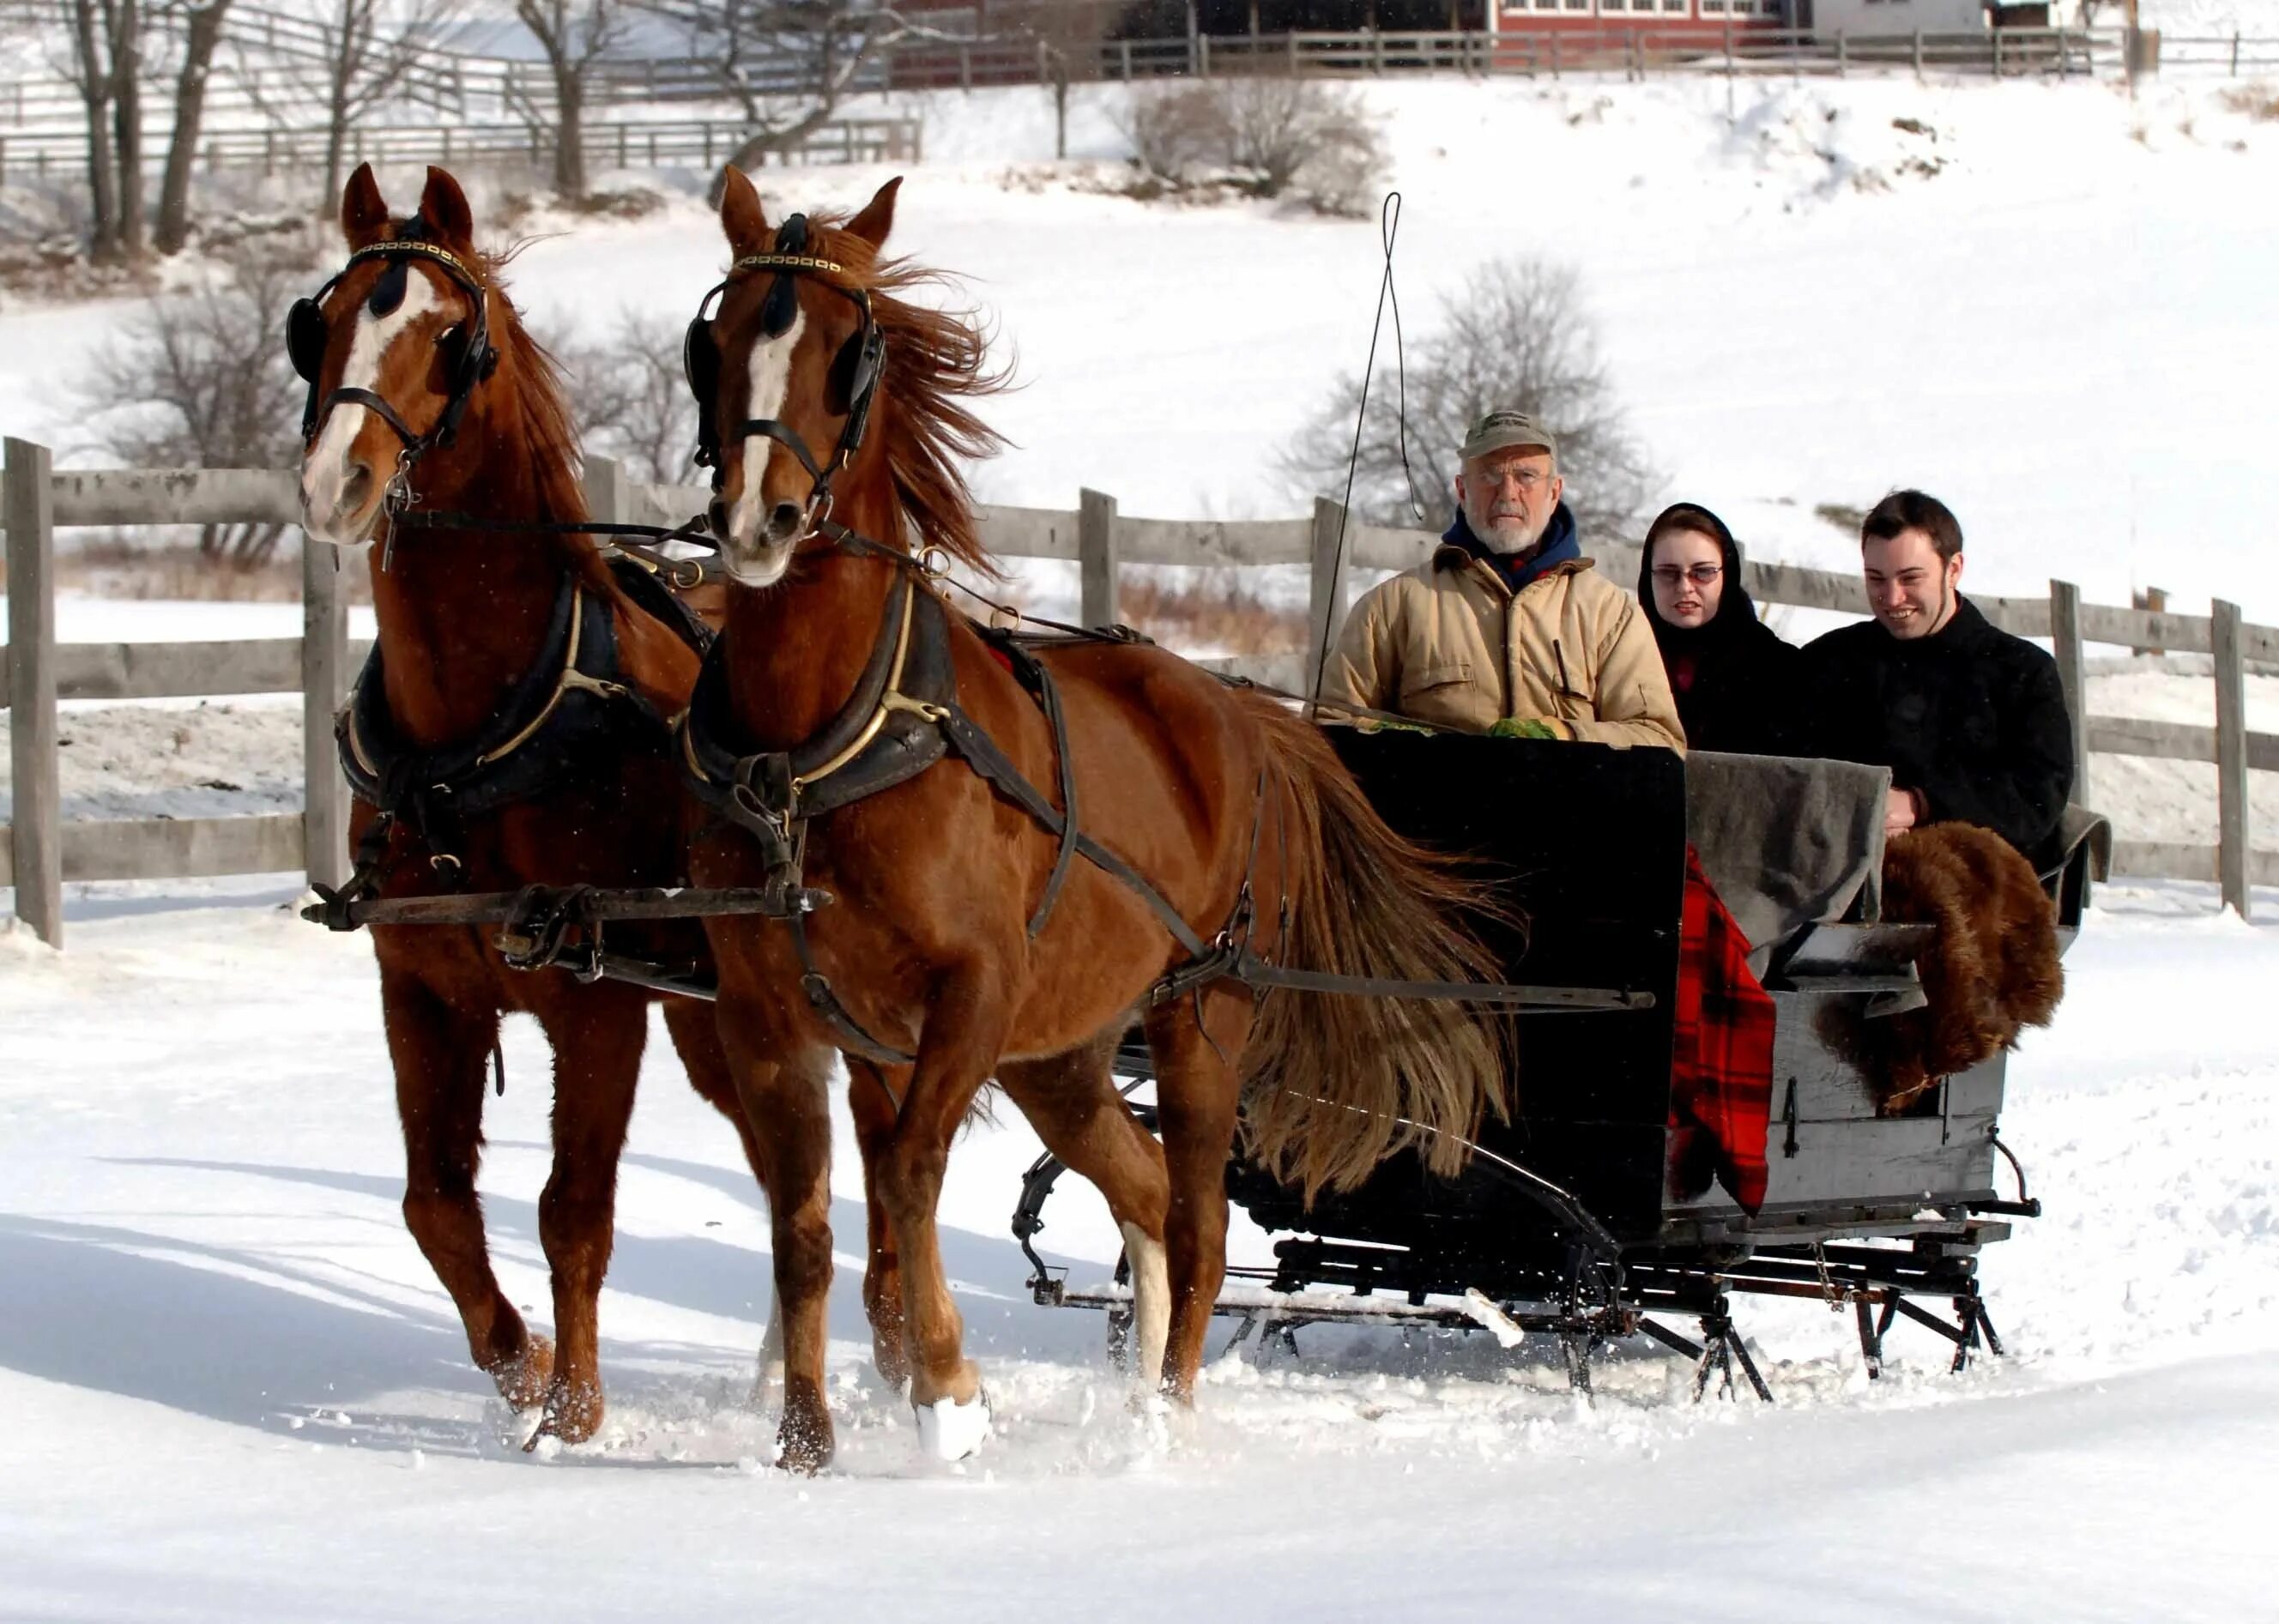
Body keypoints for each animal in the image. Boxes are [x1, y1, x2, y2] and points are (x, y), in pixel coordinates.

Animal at [291, 161, 801, 1430]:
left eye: (450, 337)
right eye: (320, 323)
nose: (334, 483)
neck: (472, 739)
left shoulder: (597, 1003)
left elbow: (573, 1209)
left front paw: (572, 1413)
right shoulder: (422, 991)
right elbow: (435, 1203)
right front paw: (515, 1363)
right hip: (709, 1012)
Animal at [683, 171, 1503, 1466]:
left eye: (844, 352)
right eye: (712, 345)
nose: (755, 523)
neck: (818, 747)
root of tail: (1238, 710)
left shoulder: (969, 994)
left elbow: (908, 1171)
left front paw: (949, 1390)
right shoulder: (768, 1019)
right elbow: (801, 1226)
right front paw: (806, 1443)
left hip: (1201, 1013)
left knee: (1200, 1216)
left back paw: (1166, 1423)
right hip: (1060, 1053)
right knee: (1146, 1189)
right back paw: (1138, 1405)